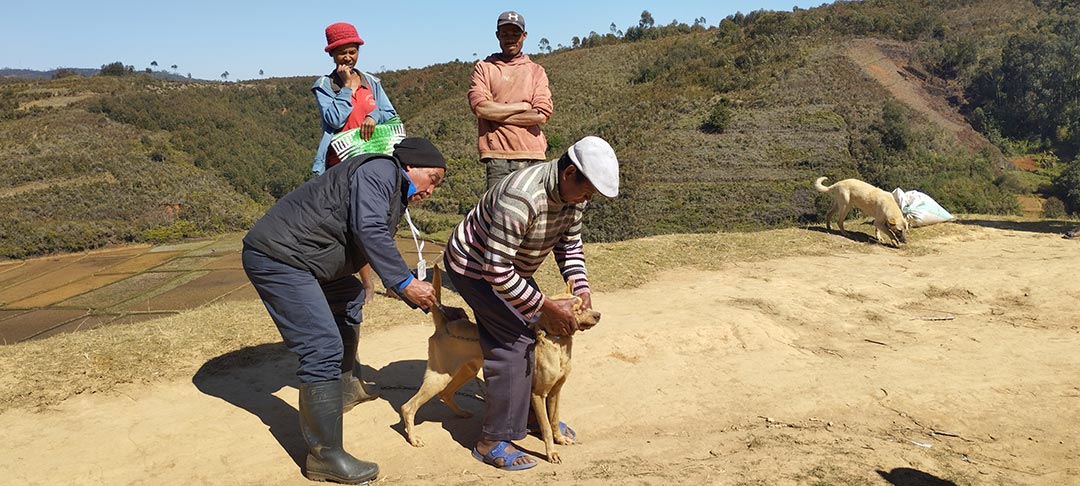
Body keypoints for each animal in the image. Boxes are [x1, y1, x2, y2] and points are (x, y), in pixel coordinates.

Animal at [399, 265, 604, 462]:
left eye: (584, 305)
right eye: (576, 310)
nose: (598, 315)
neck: (556, 342)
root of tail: (445, 325)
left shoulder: (555, 391)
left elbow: (554, 419)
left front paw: (560, 439)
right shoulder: (538, 394)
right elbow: (546, 425)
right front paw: (551, 453)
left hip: (466, 371)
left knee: (445, 394)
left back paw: (462, 413)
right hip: (439, 377)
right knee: (408, 407)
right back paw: (414, 438)